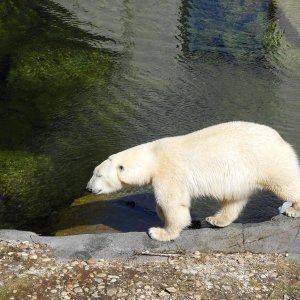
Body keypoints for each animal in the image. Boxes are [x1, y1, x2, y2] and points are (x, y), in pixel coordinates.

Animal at [86, 120, 300, 240]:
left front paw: (159, 232)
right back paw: (216, 219)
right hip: (242, 176)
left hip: (267, 161)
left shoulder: (169, 173)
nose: (88, 188)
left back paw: (292, 210)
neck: (153, 157)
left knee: (286, 184)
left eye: (98, 175)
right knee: (233, 199)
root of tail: (280, 139)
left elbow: (173, 204)